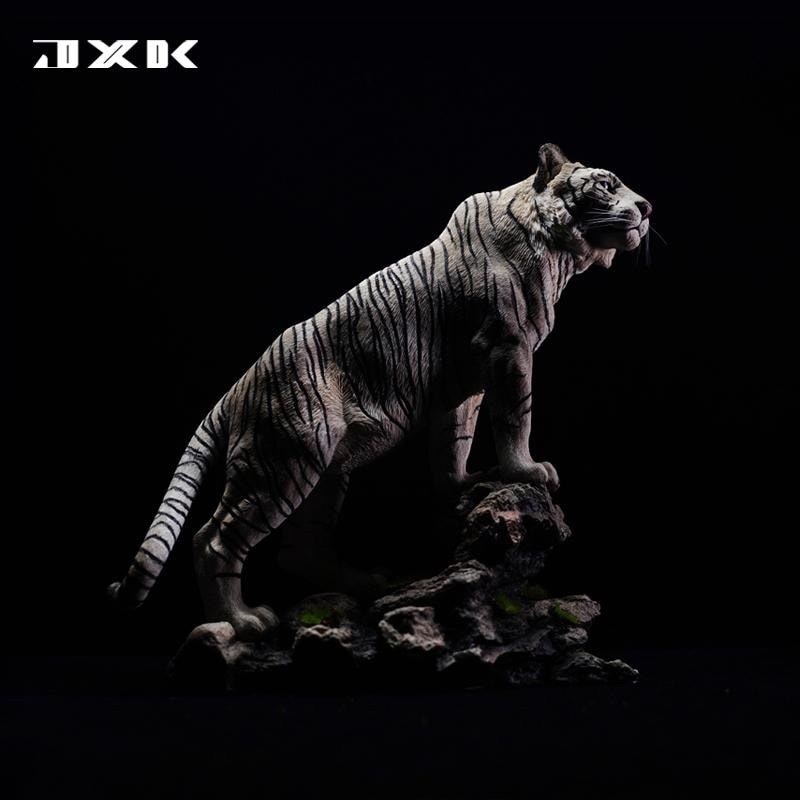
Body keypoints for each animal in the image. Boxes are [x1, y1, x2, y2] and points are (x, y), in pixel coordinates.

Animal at [108, 143, 652, 640]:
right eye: (606, 184)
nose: (647, 208)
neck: (559, 250)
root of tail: (237, 387)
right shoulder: (508, 348)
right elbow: (516, 416)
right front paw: (527, 470)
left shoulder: (467, 383)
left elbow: (455, 441)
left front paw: (465, 483)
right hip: (284, 462)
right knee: (214, 540)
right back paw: (241, 621)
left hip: (323, 470)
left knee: (300, 549)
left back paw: (362, 584)